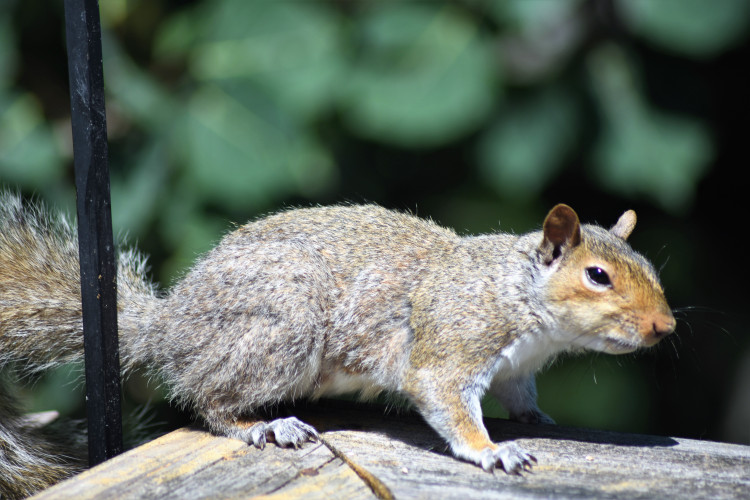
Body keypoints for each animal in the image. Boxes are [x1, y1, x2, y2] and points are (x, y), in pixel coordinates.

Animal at [0, 190, 675, 496]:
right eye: (597, 275)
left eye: (646, 264)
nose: (664, 327)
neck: (518, 292)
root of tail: (170, 326)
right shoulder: (453, 343)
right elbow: (449, 404)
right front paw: (492, 452)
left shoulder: (517, 368)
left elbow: (523, 399)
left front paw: (539, 421)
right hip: (280, 328)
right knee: (208, 399)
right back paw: (264, 426)